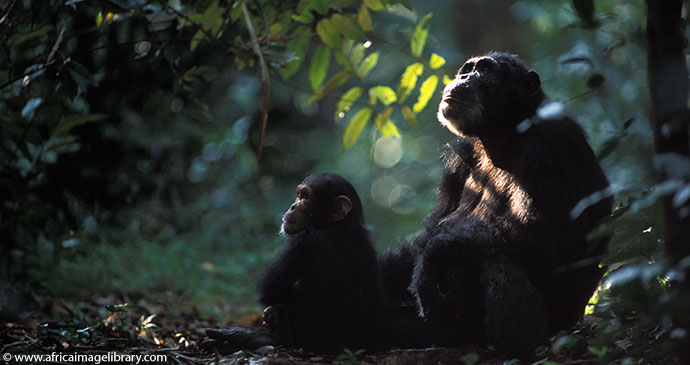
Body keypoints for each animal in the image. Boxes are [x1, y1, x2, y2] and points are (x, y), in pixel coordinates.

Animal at [202, 173, 454, 352]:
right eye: (298, 195)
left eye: (305, 197)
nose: (293, 205)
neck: (337, 226)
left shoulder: (304, 241)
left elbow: (269, 290)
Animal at [376, 51, 612, 358]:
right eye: (467, 68)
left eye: (486, 70)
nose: (465, 77)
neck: (501, 135)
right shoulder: (459, 159)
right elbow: (430, 230)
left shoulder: (553, 143)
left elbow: (559, 238)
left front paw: (436, 253)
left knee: (495, 258)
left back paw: (521, 350)